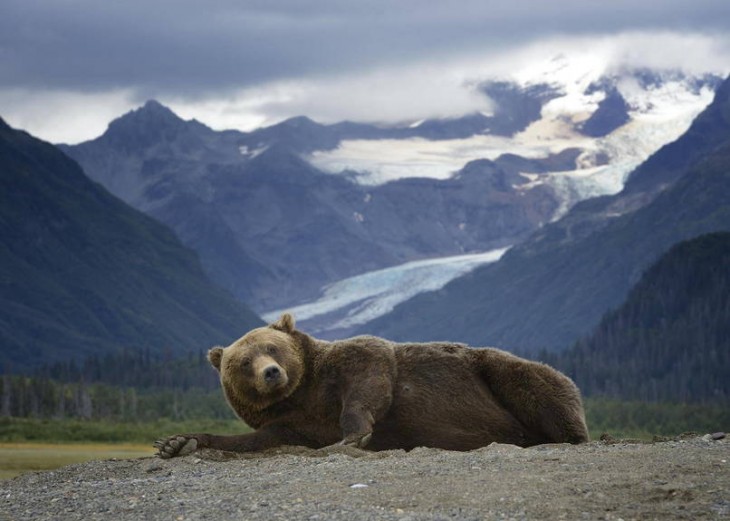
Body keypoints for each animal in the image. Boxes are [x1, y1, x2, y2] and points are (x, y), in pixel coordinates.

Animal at [154, 312, 584, 456]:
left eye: (272, 346)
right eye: (244, 362)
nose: (271, 372)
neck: (302, 394)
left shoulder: (350, 363)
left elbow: (369, 375)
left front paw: (352, 436)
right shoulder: (292, 423)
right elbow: (255, 441)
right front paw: (177, 443)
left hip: (495, 371)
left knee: (535, 383)